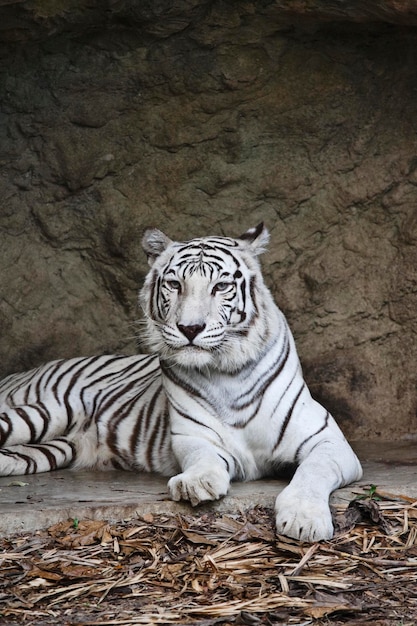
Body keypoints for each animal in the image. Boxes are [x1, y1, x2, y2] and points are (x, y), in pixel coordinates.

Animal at [0, 224, 360, 540]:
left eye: (221, 287)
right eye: (174, 285)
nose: (190, 328)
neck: (228, 374)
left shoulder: (329, 441)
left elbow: (313, 471)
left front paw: (303, 519)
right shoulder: (193, 435)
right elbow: (203, 457)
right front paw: (196, 483)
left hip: (51, 449)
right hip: (44, 413)